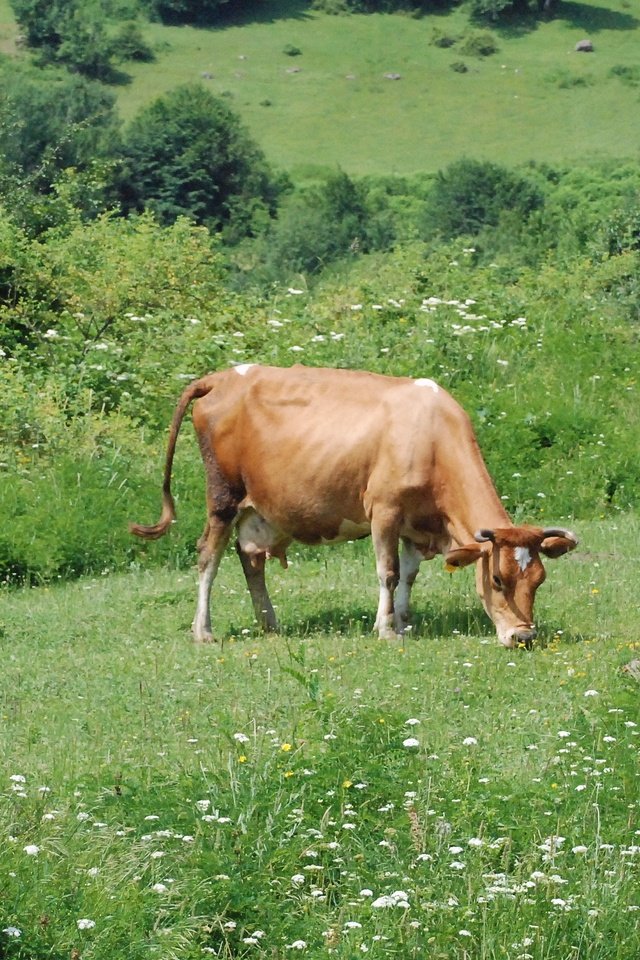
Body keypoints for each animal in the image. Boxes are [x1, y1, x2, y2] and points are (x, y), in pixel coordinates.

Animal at [129, 364, 576, 648]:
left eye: (539, 580)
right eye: (498, 580)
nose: (524, 636)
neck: (431, 435)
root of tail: (219, 378)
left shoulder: (417, 523)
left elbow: (410, 575)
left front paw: (404, 621)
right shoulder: (385, 511)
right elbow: (389, 572)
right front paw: (386, 629)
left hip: (260, 509)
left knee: (250, 557)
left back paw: (269, 622)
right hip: (223, 495)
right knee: (209, 555)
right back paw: (203, 631)